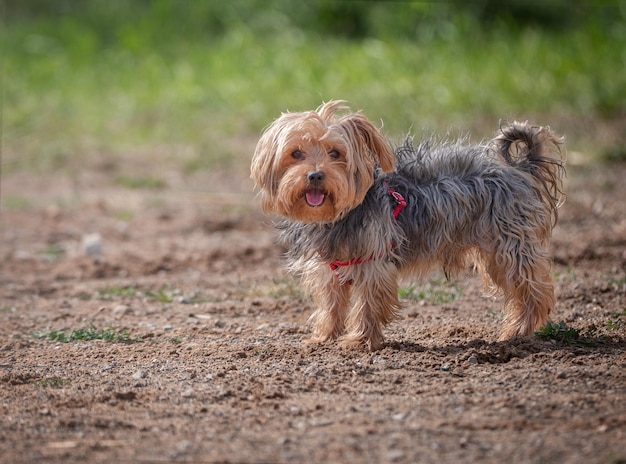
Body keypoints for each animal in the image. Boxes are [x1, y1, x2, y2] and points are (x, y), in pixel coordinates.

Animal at [250, 99, 564, 350]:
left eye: (335, 153)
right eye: (296, 153)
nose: (315, 175)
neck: (336, 217)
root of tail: (518, 168)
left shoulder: (373, 262)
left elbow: (367, 304)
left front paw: (359, 341)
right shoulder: (329, 269)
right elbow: (331, 304)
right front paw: (324, 337)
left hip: (508, 244)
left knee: (532, 290)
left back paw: (517, 333)